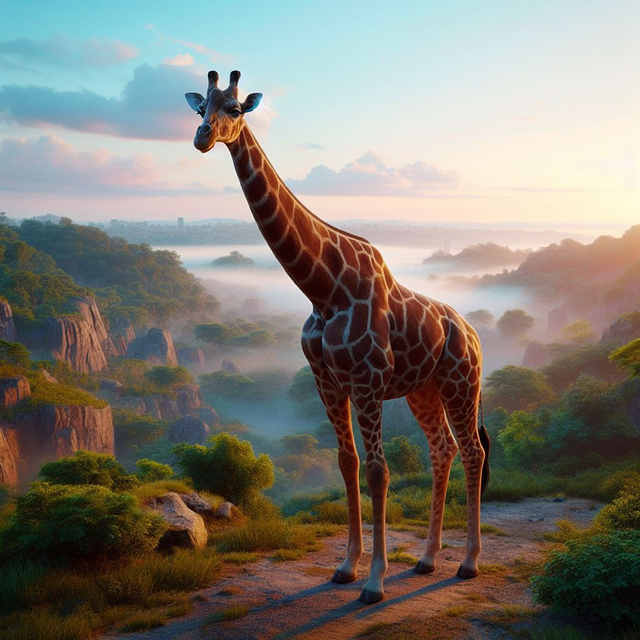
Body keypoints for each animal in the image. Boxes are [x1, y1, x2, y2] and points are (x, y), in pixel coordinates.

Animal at [185, 70, 491, 604]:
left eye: (236, 109)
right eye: (200, 107)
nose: (203, 138)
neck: (323, 288)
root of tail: (471, 332)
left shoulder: (367, 380)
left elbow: (377, 470)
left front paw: (375, 581)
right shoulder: (326, 380)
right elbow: (347, 463)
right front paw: (347, 567)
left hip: (461, 382)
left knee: (473, 450)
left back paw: (469, 563)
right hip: (424, 391)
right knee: (443, 450)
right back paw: (428, 559)